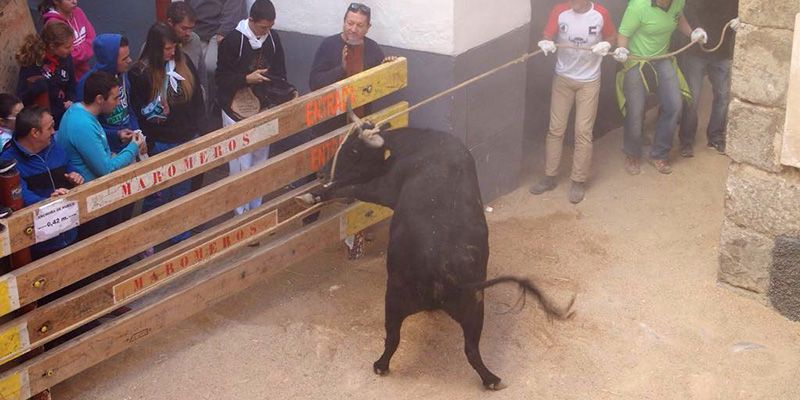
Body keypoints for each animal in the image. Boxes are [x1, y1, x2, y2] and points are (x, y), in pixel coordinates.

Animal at [297, 106, 574, 390]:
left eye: (353, 150)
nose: (321, 173)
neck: (417, 145)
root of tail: (440, 268)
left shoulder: (384, 187)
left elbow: (353, 187)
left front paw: (312, 195)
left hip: (393, 299)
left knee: (393, 338)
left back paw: (380, 366)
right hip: (474, 307)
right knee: (471, 349)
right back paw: (492, 379)